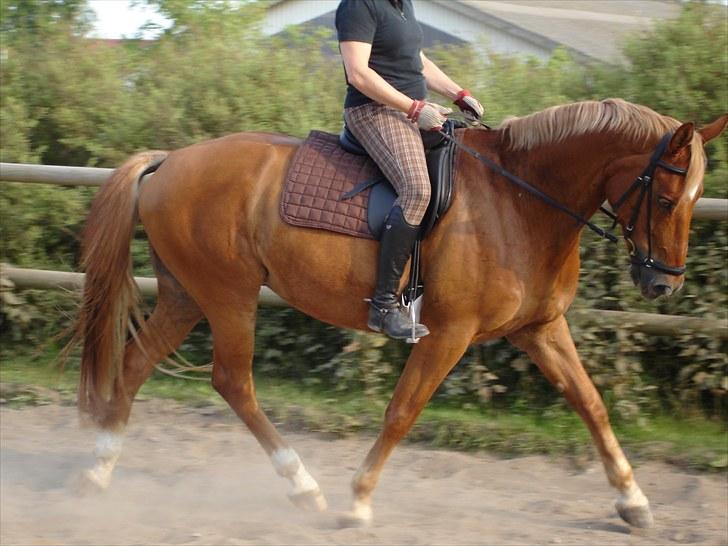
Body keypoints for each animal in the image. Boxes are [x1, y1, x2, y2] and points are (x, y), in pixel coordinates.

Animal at [75, 99, 728, 528]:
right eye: (666, 198)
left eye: (695, 199)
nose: (663, 285)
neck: (518, 201)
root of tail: (170, 161)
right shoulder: (449, 333)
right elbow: (403, 411)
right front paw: (358, 501)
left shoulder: (540, 329)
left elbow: (591, 404)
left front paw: (633, 500)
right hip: (228, 296)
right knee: (232, 381)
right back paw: (304, 486)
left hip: (187, 296)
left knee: (133, 365)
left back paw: (100, 472)